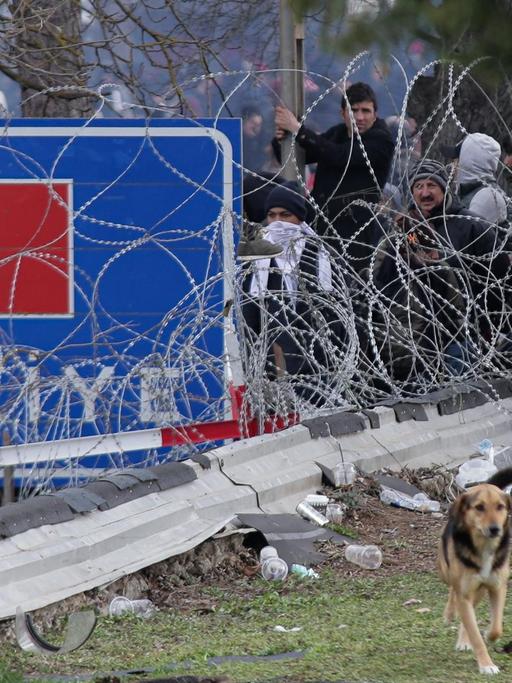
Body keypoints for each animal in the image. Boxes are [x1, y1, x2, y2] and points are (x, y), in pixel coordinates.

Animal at [438, 468, 512, 676]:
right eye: (479, 507)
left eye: (500, 507)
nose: (495, 529)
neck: (484, 547)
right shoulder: (464, 592)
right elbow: (476, 636)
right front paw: (486, 665)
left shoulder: (497, 587)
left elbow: (496, 627)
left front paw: (488, 634)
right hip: (446, 572)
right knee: (452, 591)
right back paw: (449, 613)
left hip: (479, 589)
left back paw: (464, 639)